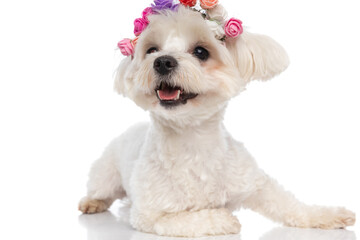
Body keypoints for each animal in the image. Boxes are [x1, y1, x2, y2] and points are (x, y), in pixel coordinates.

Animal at [78, 0, 354, 237]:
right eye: (151, 50)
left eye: (201, 51)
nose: (163, 61)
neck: (192, 143)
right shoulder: (149, 214)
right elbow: (188, 218)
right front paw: (222, 218)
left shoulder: (254, 183)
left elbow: (289, 204)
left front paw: (327, 215)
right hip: (106, 174)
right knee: (101, 189)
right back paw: (92, 202)